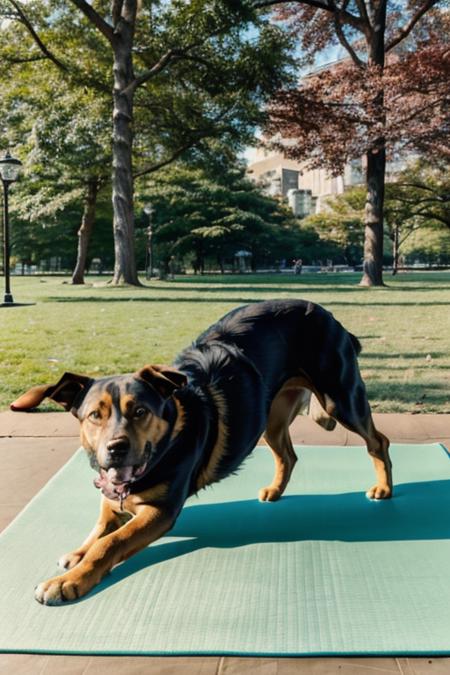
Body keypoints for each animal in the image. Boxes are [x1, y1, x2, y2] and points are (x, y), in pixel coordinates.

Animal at [9, 298, 390, 604]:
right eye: (94, 416)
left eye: (140, 411)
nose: (116, 449)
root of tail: (331, 317)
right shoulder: (112, 497)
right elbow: (99, 528)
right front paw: (77, 554)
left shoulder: (160, 512)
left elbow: (111, 543)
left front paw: (68, 581)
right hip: (270, 417)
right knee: (289, 455)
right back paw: (275, 490)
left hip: (341, 399)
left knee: (378, 442)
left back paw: (383, 488)